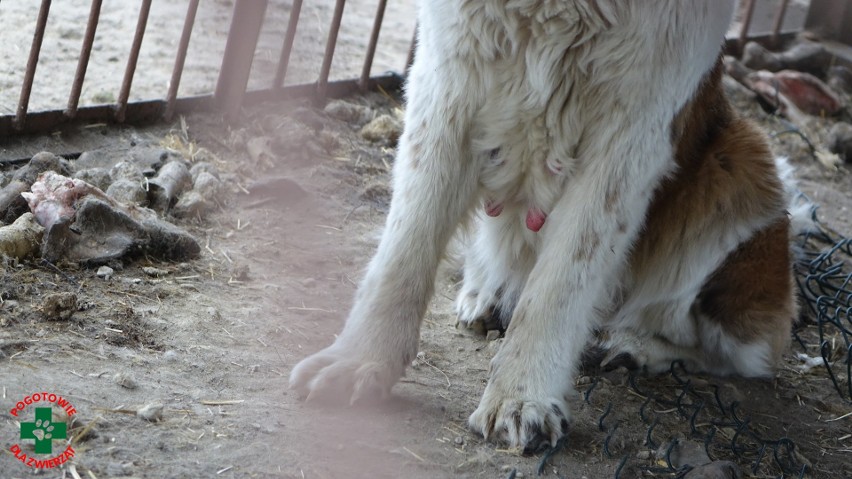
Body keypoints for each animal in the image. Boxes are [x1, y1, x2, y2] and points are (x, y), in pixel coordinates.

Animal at [292, 0, 800, 454]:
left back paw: (633, 344)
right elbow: (404, 245)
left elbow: (561, 283)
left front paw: (522, 397)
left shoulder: (631, 133)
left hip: (745, 162)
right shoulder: (449, 77)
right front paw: (358, 361)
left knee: (744, 355)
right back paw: (488, 294)